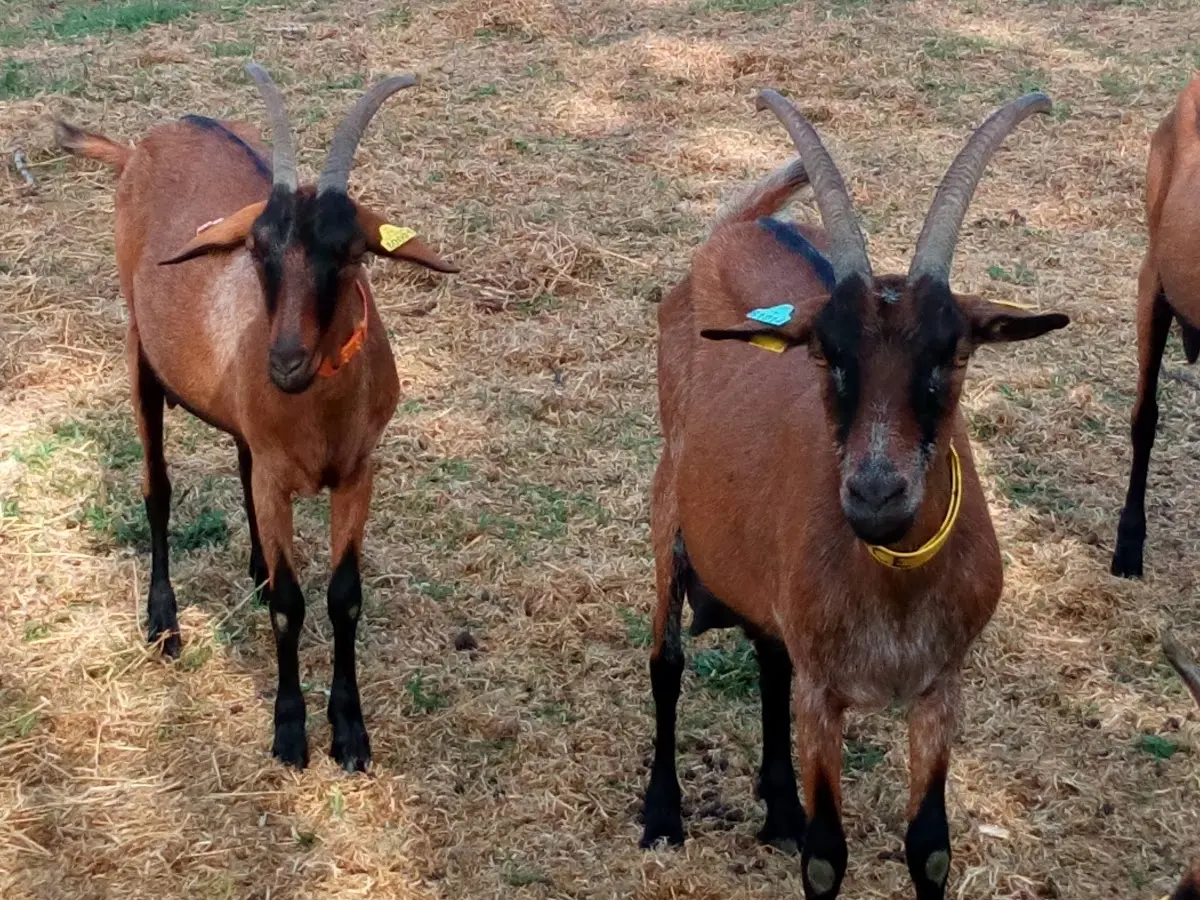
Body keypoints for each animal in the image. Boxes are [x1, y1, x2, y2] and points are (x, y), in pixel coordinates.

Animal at [55, 63, 458, 772]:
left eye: (351, 252)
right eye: (257, 248)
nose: (286, 361)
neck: (319, 416)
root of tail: (141, 146)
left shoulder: (358, 472)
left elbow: (344, 596)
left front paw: (350, 733)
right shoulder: (279, 478)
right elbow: (293, 607)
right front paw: (290, 731)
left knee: (239, 471)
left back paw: (255, 570)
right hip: (140, 356)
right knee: (156, 489)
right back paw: (164, 624)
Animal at [638, 93, 1070, 900]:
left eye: (953, 354)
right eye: (826, 352)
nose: (875, 493)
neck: (894, 591)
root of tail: (740, 226)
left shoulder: (939, 686)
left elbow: (930, 847)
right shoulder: (825, 692)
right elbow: (825, 856)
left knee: (768, 655)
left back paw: (778, 808)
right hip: (667, 509)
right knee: (666, 659)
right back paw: (662, 814)